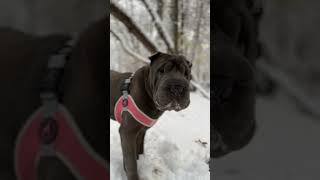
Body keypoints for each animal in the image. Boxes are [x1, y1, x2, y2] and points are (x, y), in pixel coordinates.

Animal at [110, 52, 191, 180]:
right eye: (161, 70)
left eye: (186, 74)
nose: (177, 87)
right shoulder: (128, 132)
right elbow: (131, 162)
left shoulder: (140, 131)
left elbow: (138, 151)